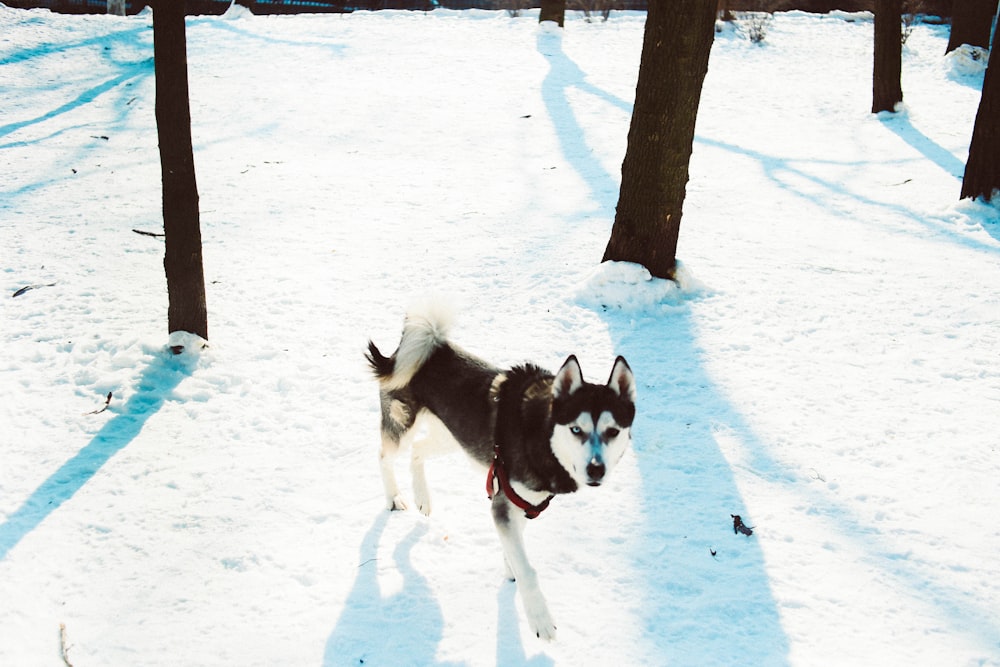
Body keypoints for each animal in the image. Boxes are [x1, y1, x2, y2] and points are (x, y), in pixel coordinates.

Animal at [364, 306, 636, 640]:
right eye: (576, 429)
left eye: (612, 431)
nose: (596, 469)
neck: (540, 436)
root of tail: (421, 346)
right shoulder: (504, 504)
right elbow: (528, 569)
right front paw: (540, 619)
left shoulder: (521, 502)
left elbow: (514, 549)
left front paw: (510, 569)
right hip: (402, 425)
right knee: (384, 456)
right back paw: (394, 497)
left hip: (457, 437)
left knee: (418, 451)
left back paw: (422, 497)